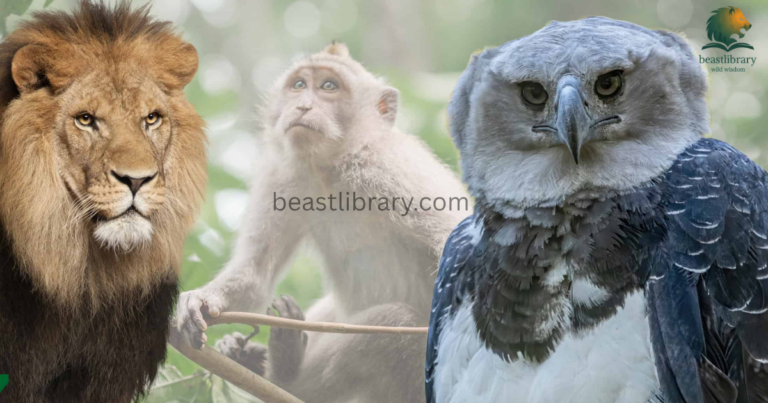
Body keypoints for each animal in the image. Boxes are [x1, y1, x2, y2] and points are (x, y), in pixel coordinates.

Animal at [175, 42, 470, 403]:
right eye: (299, 85)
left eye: (329, 86)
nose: (303, 105)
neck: (332, 168)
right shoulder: (283, 176)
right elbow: (255, 272)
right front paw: (202, 301)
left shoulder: (391, 167)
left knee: (397, 322)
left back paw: (285, 375)